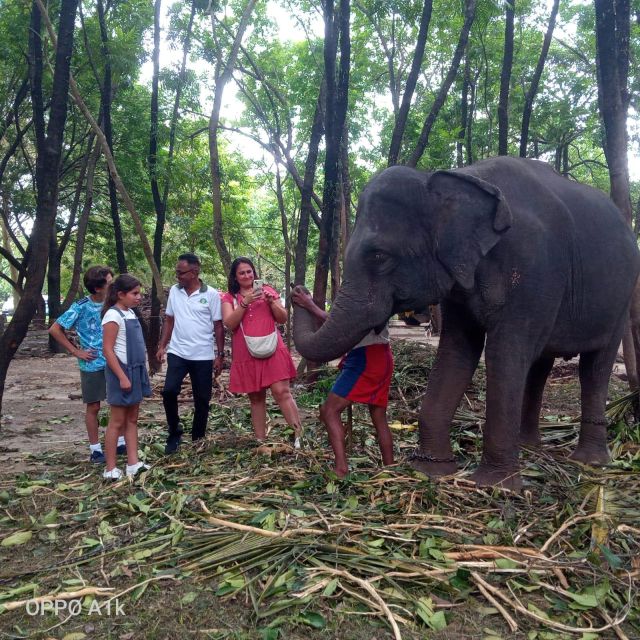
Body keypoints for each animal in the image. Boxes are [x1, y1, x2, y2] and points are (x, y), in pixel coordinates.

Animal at [292, 156, 640, 490]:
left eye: (379, 256)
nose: (298, 291)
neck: (458, 176)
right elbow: (457, 351)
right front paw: (432, 471)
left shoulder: (536, 269)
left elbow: (505, 354)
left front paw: (497, 485)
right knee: (541, 364)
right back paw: (530, 449)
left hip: (620, 300)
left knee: (595, 367)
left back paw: (590, 461)